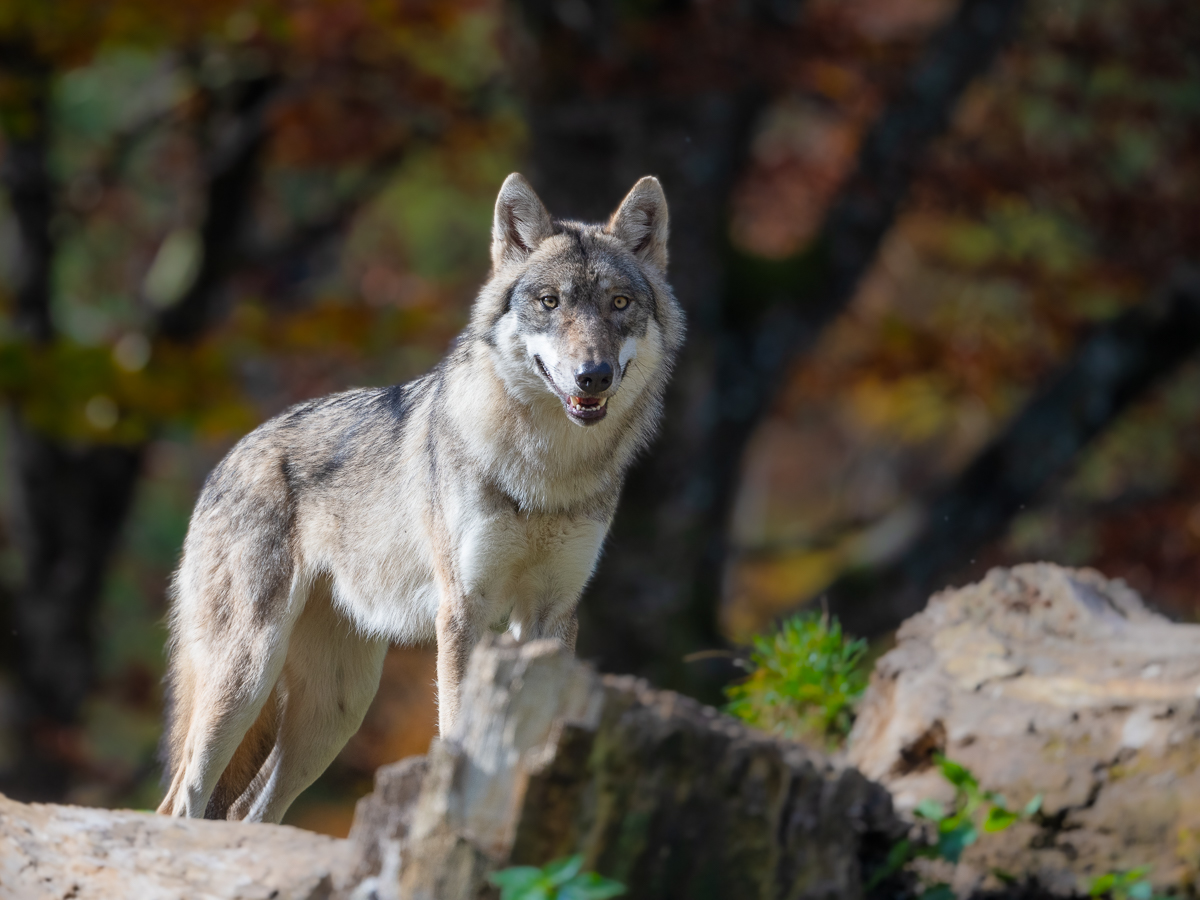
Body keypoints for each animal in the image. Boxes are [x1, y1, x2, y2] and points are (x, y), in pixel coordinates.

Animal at [156, 173, 684, 822]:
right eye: (549, 303)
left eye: (619, 304)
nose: (594, 375)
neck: (546, 472)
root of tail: (226, 461)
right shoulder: (463, 611)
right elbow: (456, 726)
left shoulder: (551, 612)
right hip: (248, 672)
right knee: (181, 800)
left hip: (336, 710)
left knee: (248, 812)